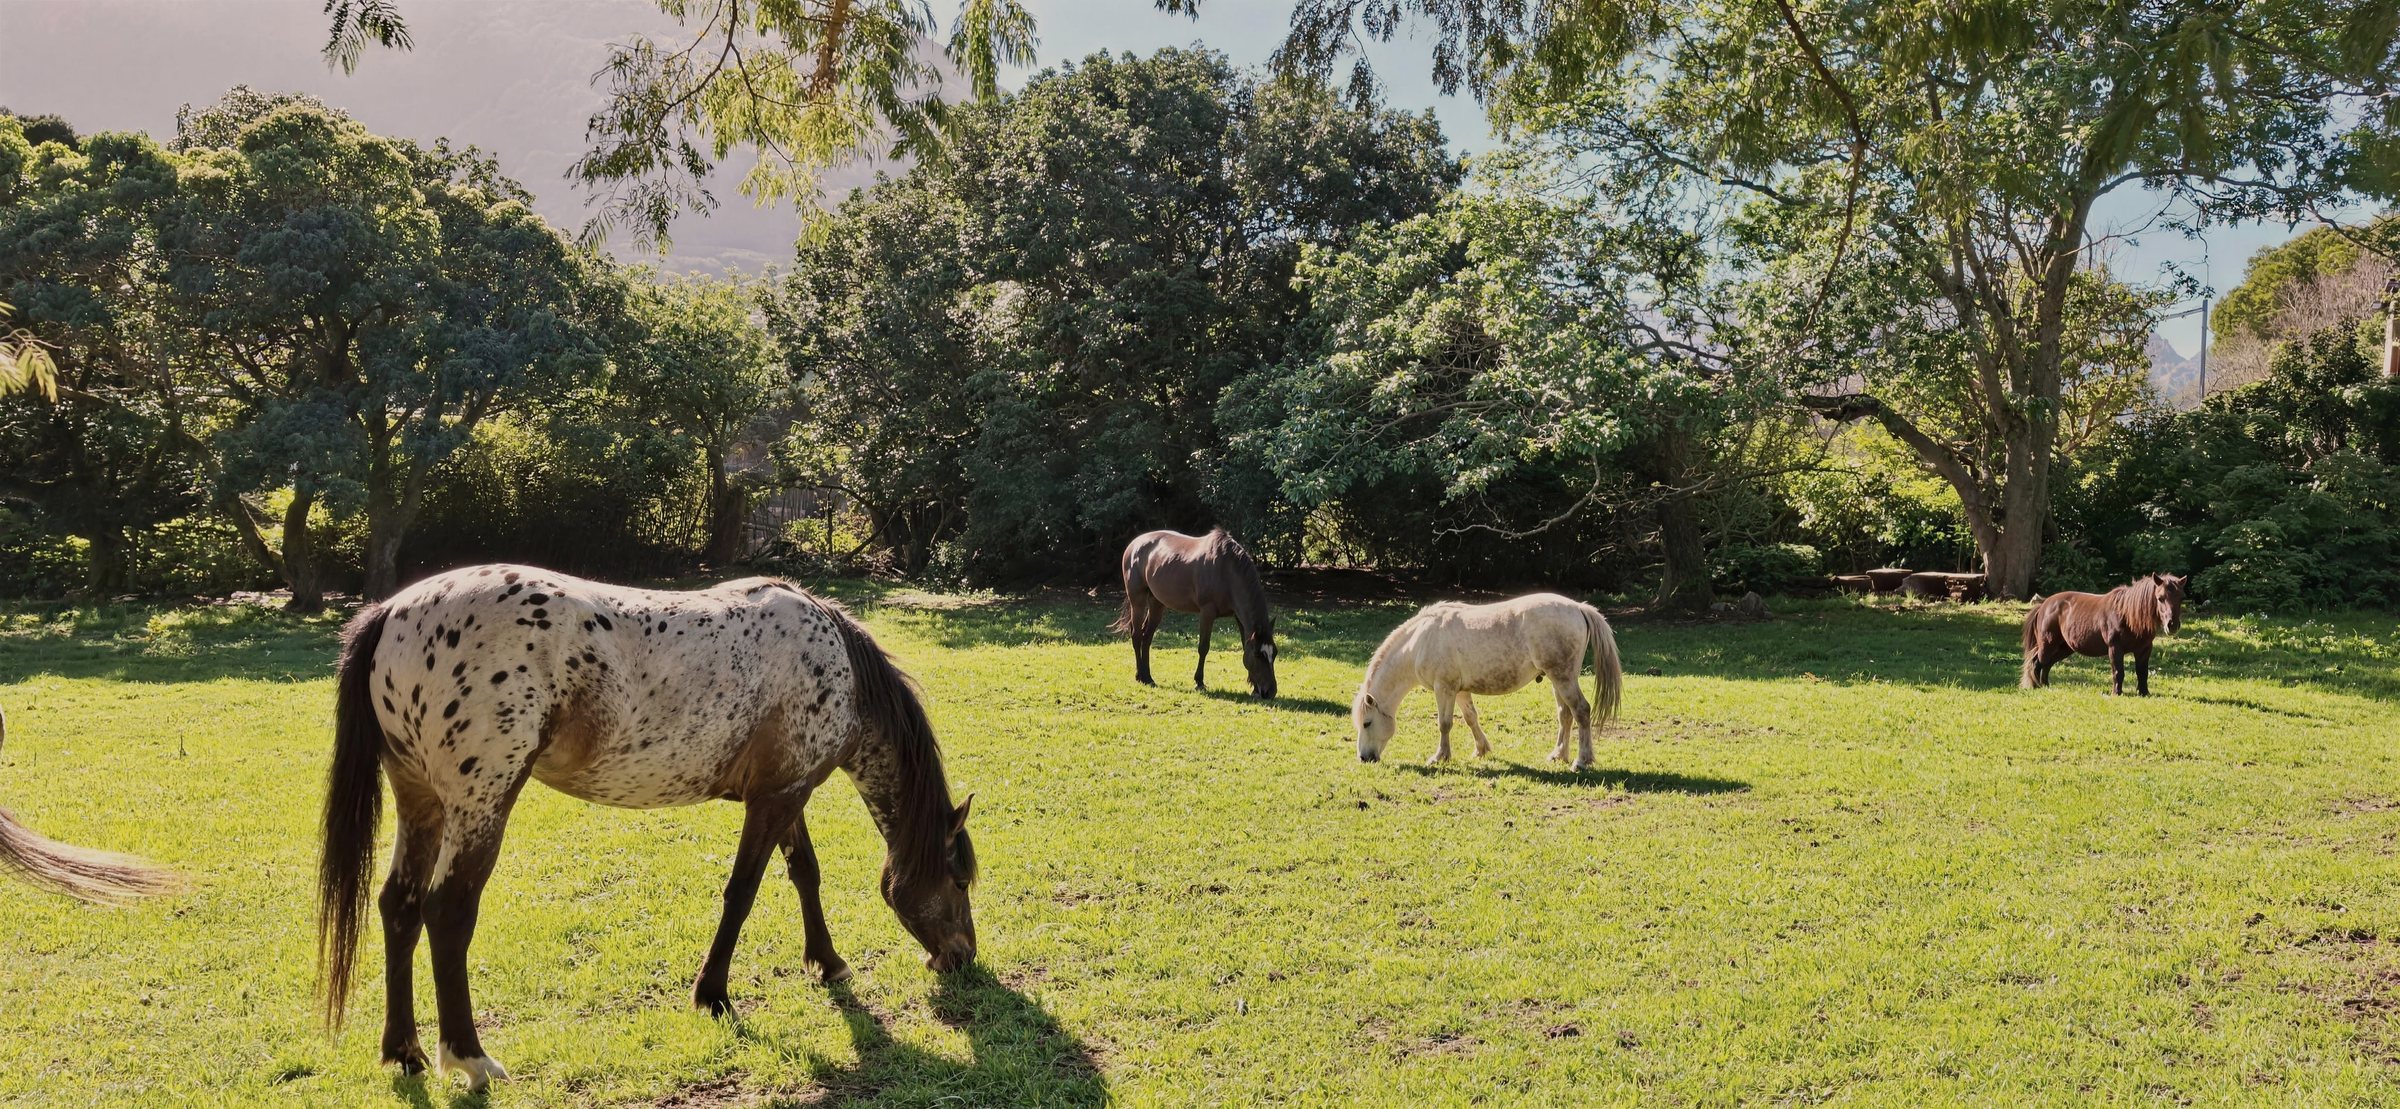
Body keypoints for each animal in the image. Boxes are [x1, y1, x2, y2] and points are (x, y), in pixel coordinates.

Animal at [317, 565, 978, 1091]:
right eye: (960, 880)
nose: (962, 957)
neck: (834, 662)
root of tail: (393, 613)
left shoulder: (786, 792)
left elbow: (804, 874)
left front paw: (827, 962)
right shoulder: (776, 799)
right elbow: (743, 893)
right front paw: (713, 993)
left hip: (420, 798)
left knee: (400, 907)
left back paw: (405, 1052)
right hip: (481, 802)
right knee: (447, 913)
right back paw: (471, 1060)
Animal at [1113, 528, 1277, 699]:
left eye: (1275, 653)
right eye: (1259, 655)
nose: (1270, 691)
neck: (1226, 571)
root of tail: (1134, 544)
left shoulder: (1237, 616)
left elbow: (1245, 646)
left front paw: (1254, 688)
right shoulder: (1207, 612)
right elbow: (1203, 647)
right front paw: (1199, 682)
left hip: (1156, 602)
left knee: (1147, 637)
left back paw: (1148, 677)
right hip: (1137, 600)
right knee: (1137, 635)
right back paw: (1140, 676)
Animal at [1352, 594, 1623, 770]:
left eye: (1367, 723)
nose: (1364, 758)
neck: (1419, 642)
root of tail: (1578, 607)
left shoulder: (1444, 688)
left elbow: (1444, 724)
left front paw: (1440, 757)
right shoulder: (1460, 691)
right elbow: (1470, 718)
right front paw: (1481, 750)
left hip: (1563, 678)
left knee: (1581, 711)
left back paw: (1581, 761)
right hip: (1558, 680)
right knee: (1565, 715)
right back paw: (1558, 755)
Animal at [2020, 572, 2187, 695]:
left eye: (2181, 598)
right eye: (2160, 598)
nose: (2172, 625)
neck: (2127, 615)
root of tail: (2044, 605)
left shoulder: (2144, 650)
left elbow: (2142, 672)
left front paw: (2144, 693)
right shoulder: (2114, 648)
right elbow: (2118, 672)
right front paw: (2116, 693)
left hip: (2064, 648)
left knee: (2047, 664)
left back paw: (2045, 685)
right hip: (2048, 644)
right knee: (2037, 662)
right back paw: (2036, 686)